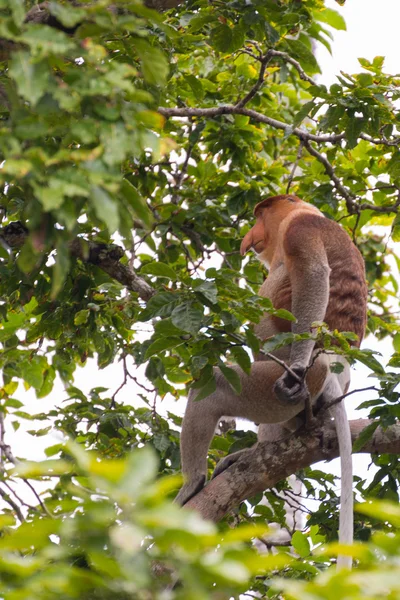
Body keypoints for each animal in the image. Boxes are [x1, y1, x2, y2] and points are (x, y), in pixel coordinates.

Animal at [177, 195, 368, 568]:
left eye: (259, 215)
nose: (249, 237)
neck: (308, 212)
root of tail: (336, 369)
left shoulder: (300, 230)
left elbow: (313, 276)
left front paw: (294, 371)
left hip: (291, 380)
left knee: (214, 387)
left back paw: (192, 485)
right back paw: (253, 453)